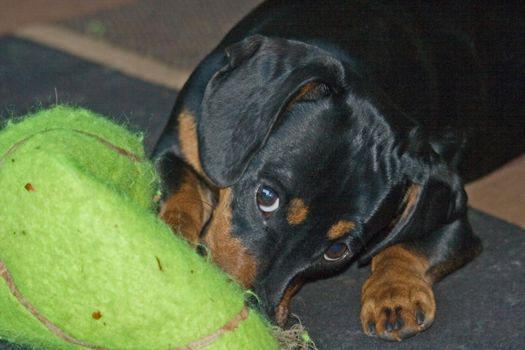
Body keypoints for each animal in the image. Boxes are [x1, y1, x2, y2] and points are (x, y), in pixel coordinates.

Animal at [150, 0, 520, 340]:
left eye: (336, 251)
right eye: (266, 196)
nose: (255, 316)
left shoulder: (453, 213)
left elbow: (410, 245)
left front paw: (396, 295)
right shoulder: (175, 144)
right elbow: (183, 192)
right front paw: (173, 236)